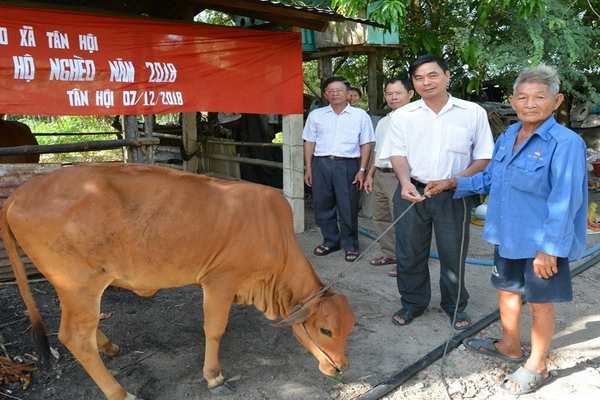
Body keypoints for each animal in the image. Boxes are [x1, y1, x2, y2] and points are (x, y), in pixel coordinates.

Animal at [0, 163, 354, 400]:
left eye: (349, 329)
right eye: (326, 330)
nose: (340, 368)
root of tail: (23, 191)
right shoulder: (221, 280)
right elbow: (215, 329)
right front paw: (213, 377)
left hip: (72, 288)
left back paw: (108, 346)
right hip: (80, 284)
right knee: (74, 337)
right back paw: (120, 392)